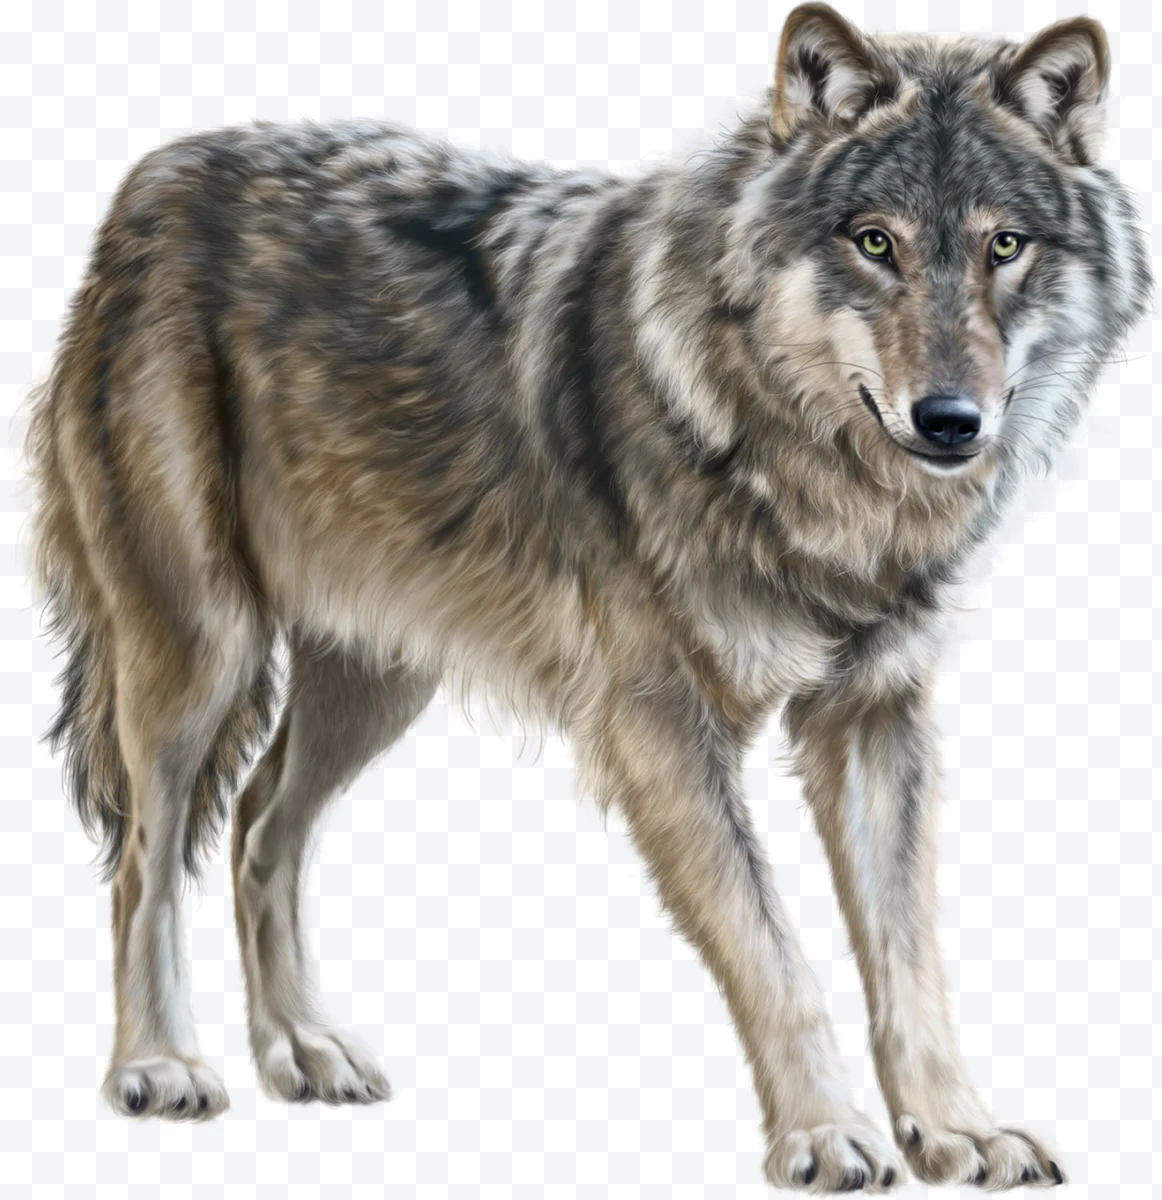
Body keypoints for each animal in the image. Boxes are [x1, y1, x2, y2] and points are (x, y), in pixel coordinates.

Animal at [24, 2, 1150, 1191]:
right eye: (873, 240)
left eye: (1004, 246)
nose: (950, 421)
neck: (802, 470)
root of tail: (154, 177)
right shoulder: (662, 728)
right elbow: (775, 953)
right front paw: (823, 1135)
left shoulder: (872, 718)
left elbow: (910, 960)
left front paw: (955, 1128)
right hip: (204, 654)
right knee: (144, 859)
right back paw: (158, 1065)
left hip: (377, 681)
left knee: (256, 825)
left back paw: (303, 1048)